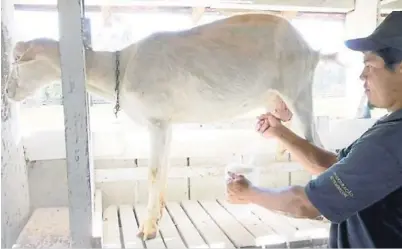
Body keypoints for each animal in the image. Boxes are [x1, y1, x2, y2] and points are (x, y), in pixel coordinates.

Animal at [7, 13, 332, 241]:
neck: (121, 69)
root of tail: (312, 50)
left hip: (299, 90)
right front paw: (157, 218)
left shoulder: (157, 120)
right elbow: (163, 169)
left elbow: (152, 172)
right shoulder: (167, 123)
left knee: (316, 143)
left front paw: (146, 229)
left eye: (18, 60)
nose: (8, 93)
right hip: (279, 101)